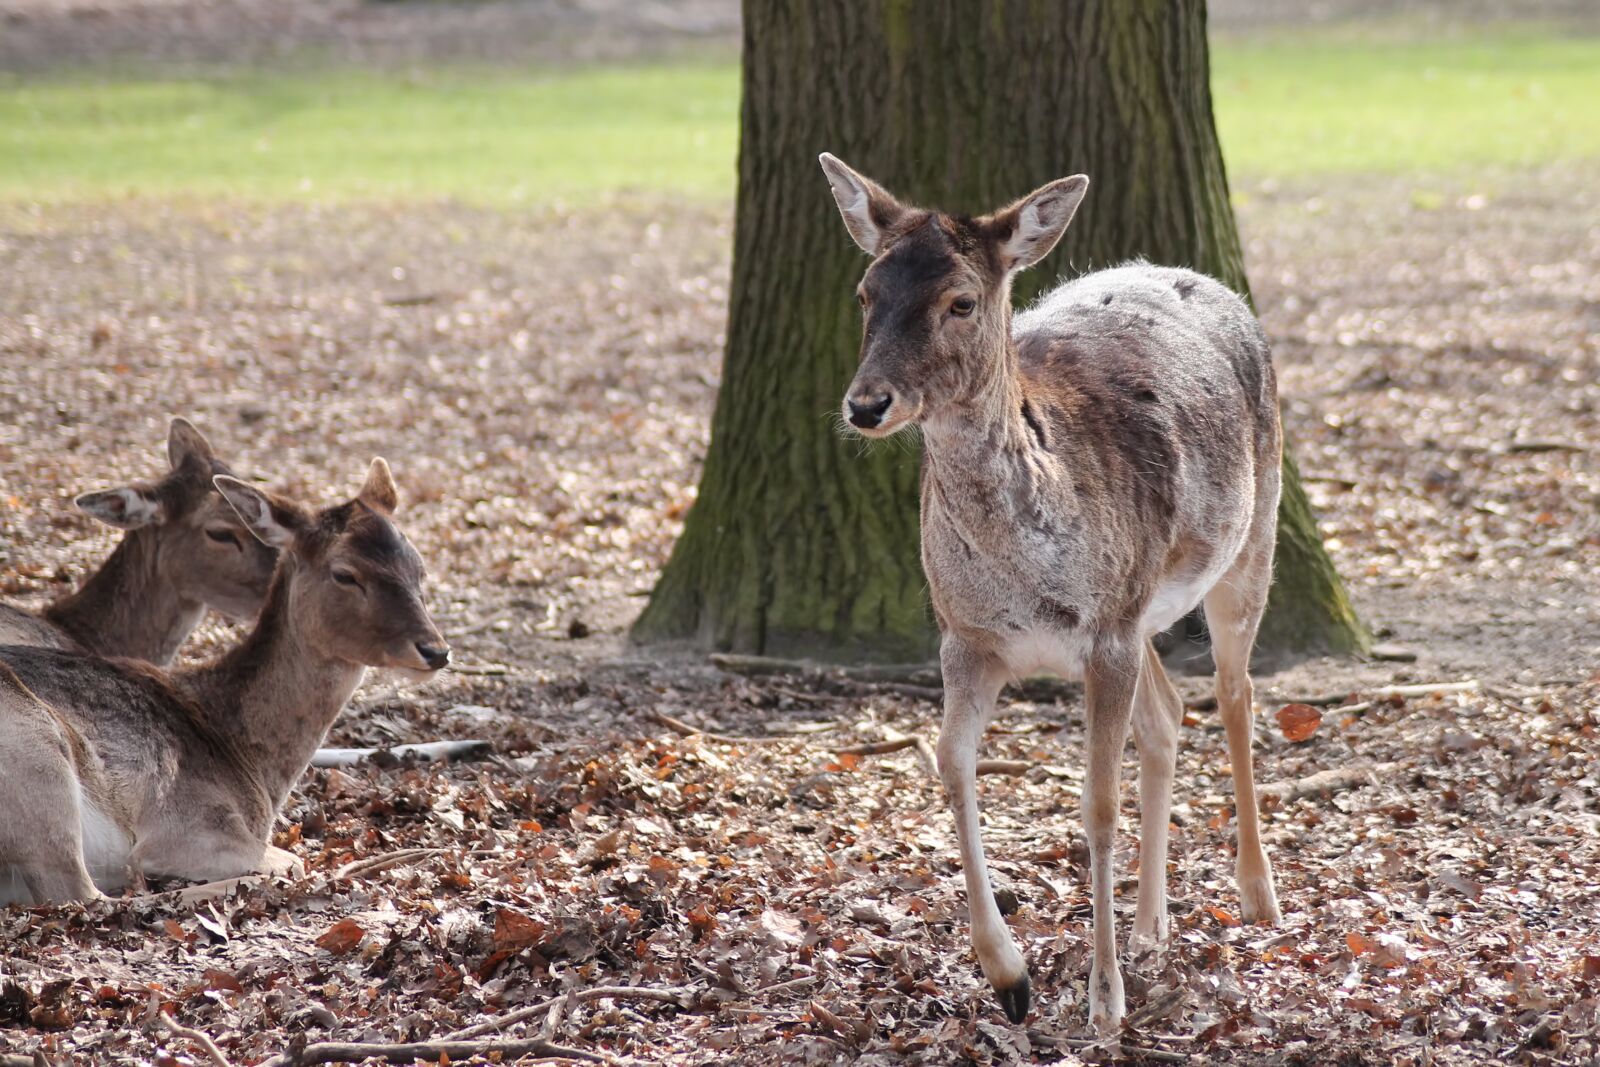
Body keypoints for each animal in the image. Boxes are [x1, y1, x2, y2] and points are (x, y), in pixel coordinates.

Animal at [0, 458, 449, 906]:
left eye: (420, 569)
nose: (436, 650)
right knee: (83, 893)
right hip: (37, 753)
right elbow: (292, 860)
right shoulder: (187, 824)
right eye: (345, 574)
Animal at [818, 154, 1283, 1031]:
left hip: (1251, 536)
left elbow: (1096, 802)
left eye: (961, 300)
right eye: (864, 291)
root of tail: (1211, 281)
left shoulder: (1105, 632)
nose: (865, 404)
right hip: (1143, 607)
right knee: (1169, 713)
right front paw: (1010, 974)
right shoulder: (967, 637)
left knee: (1235, 693)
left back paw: (1257, 895)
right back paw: (1151, 927)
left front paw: (1104, 1001)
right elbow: (950, 762)